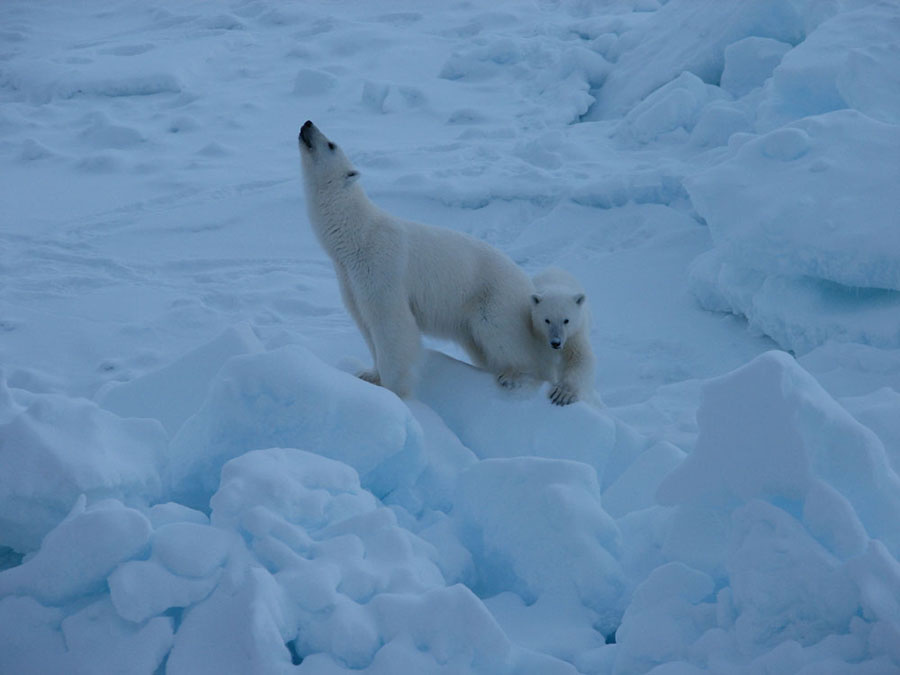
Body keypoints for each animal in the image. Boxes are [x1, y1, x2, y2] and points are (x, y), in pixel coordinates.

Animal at [298, 120, 542, 399]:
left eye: (331, 144)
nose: (307, 123)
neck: (357, 236)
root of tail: (528, 285)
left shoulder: (381, 268)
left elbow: (391, 324)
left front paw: (395, 390)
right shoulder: (350, 278)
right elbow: (364, 322)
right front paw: (369, 375)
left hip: (494, 297)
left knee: (501, 333)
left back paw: (513, 376)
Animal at [530, 268, 596, 406]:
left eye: (566, 320)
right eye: (547, 320)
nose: (556, 342)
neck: (556, 288)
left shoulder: (575, 333)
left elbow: (580, 357)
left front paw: (562, 393)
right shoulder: (538, 336)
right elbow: (542, 361)